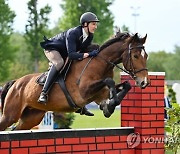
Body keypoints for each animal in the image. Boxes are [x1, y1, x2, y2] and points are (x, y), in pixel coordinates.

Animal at [0, 32, 149, 131]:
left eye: (146, 56)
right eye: (135, 56)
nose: (144, 82)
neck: (100, 64)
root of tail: (15, 83)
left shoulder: (99, 93)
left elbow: (125, 85)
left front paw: (109, 106)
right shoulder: (84, 91)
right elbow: (109, 81)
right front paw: (109, 105)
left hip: (31, 117)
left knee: (16, 129)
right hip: (10, 115)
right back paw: (42, 96)